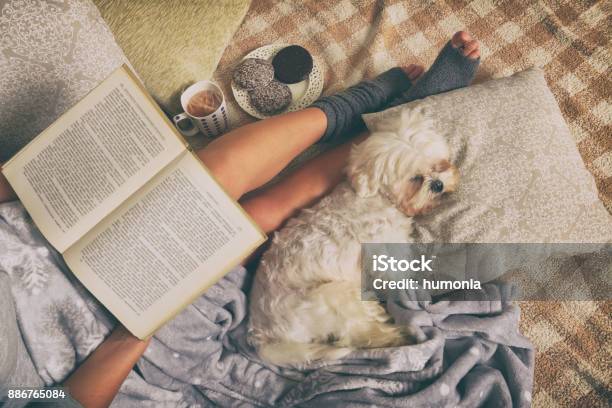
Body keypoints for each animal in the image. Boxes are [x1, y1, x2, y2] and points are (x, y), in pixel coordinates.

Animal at [246, 108, 456, 366]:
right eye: (415, 179)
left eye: (440, 164)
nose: (438, 184)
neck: (380, 198)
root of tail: (263, 335)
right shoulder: (385, 257)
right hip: (335, 296)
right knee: (358, 335)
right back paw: (398, 337)